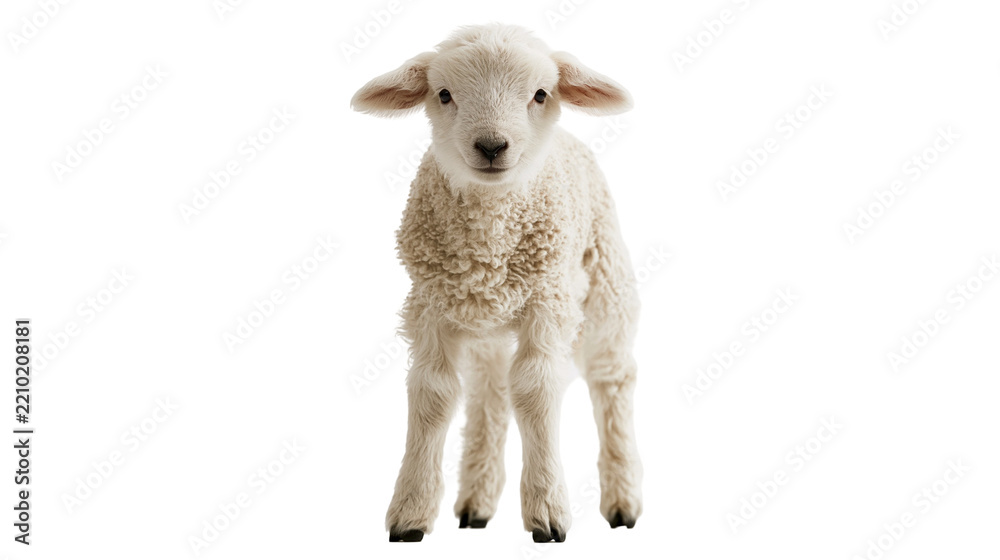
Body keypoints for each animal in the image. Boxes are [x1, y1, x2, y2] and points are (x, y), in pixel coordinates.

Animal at [351, 23, 642, 543]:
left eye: (540, 94)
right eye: (444, 94)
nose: (491, 146)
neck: (488, 246)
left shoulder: (548, 301)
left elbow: (537, 388)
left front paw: (548, 512)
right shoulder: (429, 305)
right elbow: (433, 394)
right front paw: (411, 513)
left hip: (606, 281)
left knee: (612, 376)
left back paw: (623, 501)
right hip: (485, 325)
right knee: (490, 391)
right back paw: (476, 504)